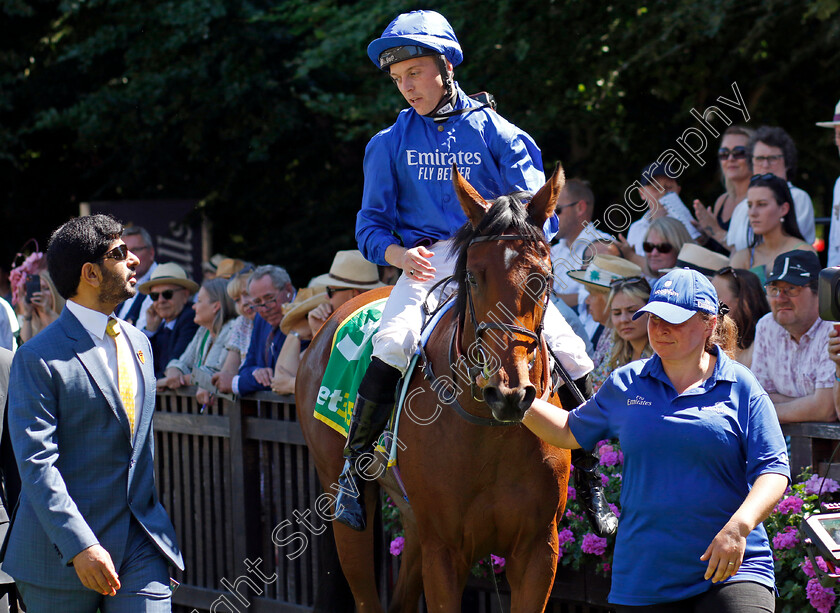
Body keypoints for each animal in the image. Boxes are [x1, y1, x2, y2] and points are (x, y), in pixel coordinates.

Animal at [296, 165, 572, 608]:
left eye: (542, 279)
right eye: (472, 277)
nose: (509, 394)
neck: (491, 433)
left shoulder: (538, 550)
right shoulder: (444, 550)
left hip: (412, 522)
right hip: (342, 497)